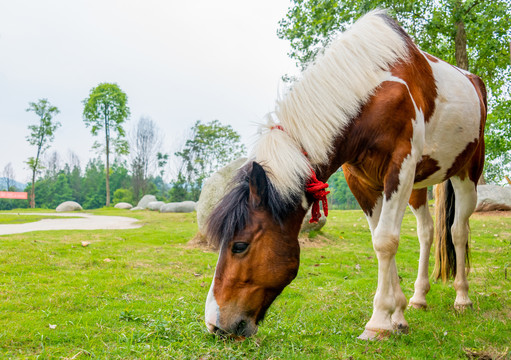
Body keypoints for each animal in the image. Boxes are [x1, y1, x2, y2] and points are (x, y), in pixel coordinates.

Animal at [205, 10, 488, 340]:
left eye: (239, 245)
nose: (214, 323)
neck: (375, 90)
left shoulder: (400, 168)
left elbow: (386, 240)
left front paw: (378, 321)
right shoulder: (362, 181)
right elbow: (380, 239)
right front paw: (397, 315)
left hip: (466, 175)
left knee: (458, 231)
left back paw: (462, 298)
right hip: (419, 186)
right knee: (427, 232)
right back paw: (419, 297)